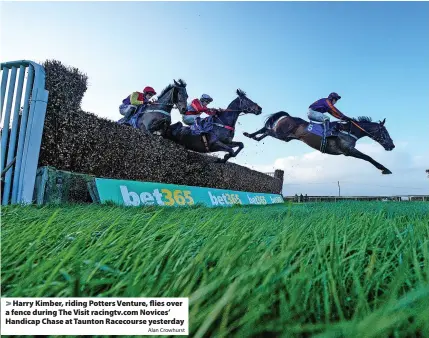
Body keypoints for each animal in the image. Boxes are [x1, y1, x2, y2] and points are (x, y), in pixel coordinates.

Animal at [244, 111, 394, 174]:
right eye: (385, 132)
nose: (392, 146)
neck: (349, 130)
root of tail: (289, 116)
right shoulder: (348, 150)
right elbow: (368, 157)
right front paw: (385, 169)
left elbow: (368, 157)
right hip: (281, 134)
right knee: (268, 131)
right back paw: (252, 136)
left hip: (284, 137)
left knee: (266, 129)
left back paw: (250, 135)